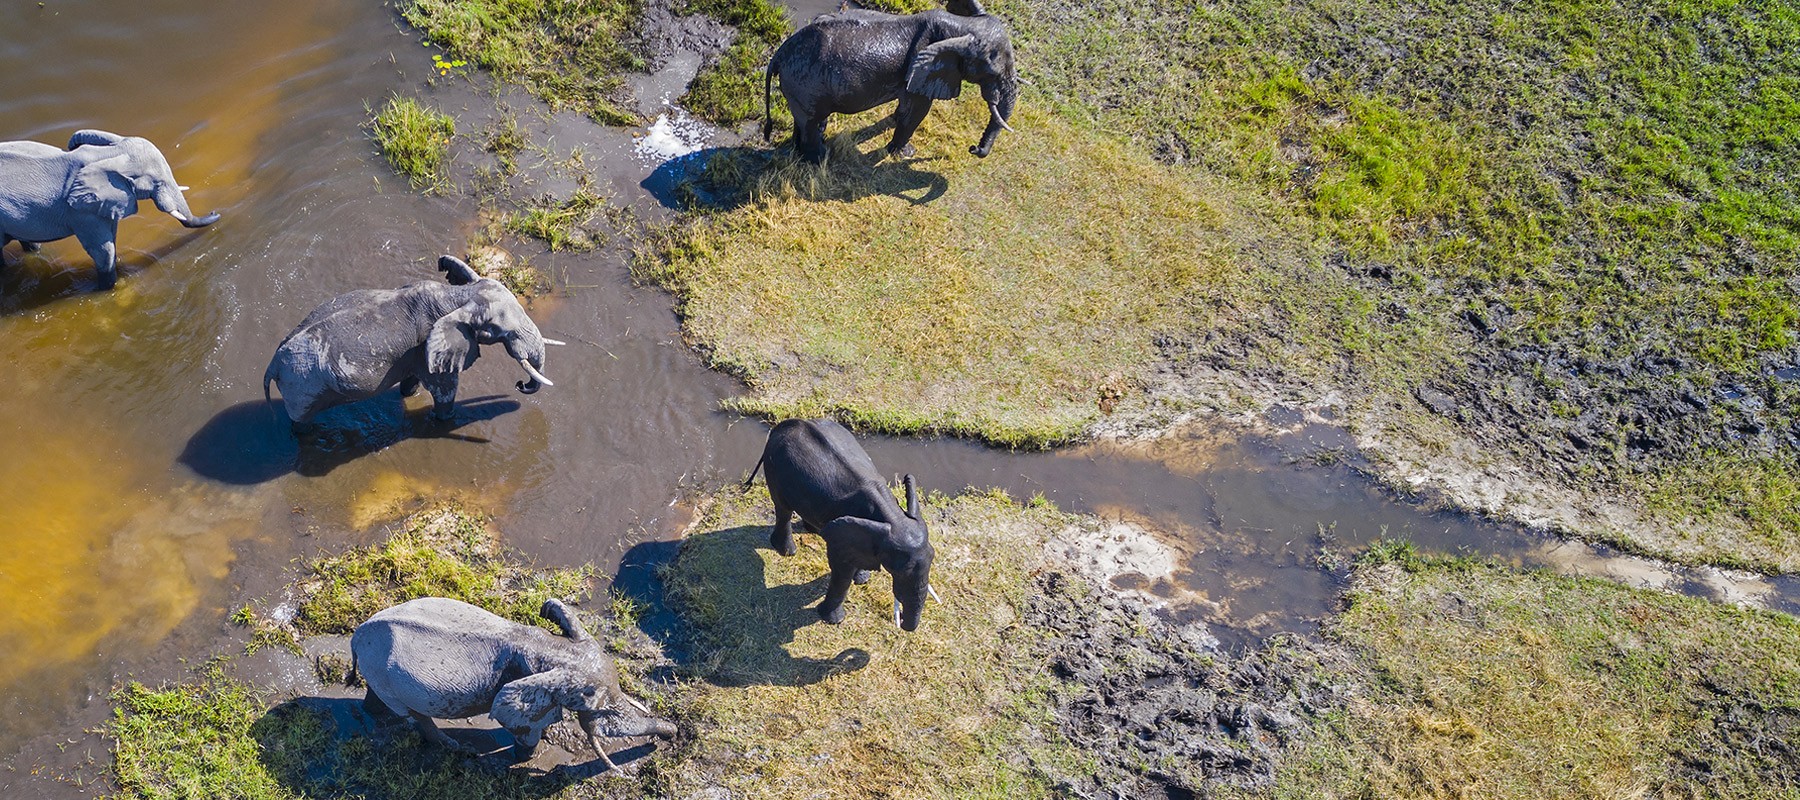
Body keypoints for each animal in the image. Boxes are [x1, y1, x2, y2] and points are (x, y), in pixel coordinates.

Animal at [262, 254, 558, 430]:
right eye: (499, 330)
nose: (519, 385)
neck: (460, 296)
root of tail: (272, 364)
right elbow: (445, 394)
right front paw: (449, 420)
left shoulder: (418, 352)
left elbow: (412, 381)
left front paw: (410, 395)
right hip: (301, 387)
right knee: (301, 423)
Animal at [745, 418, 943, 630]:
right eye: (898, 571)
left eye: (933, 556)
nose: (903, 624)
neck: (894, 517)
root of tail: (783, 424)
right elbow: (842, 570)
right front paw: (834, 620)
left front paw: (862, 579)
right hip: (775, 468)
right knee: (783, 509)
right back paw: (787, 551)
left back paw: (812, 530)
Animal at [756, 0, 1015, 163]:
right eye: (991, 72)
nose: (973, 148)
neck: (962, 25)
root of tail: (778, 55)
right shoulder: (920, 69)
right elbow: (917, 112)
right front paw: (906, 153)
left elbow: (908, 108)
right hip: (805, 84)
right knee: (812, 122)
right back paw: (819, 161)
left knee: (806, 121)